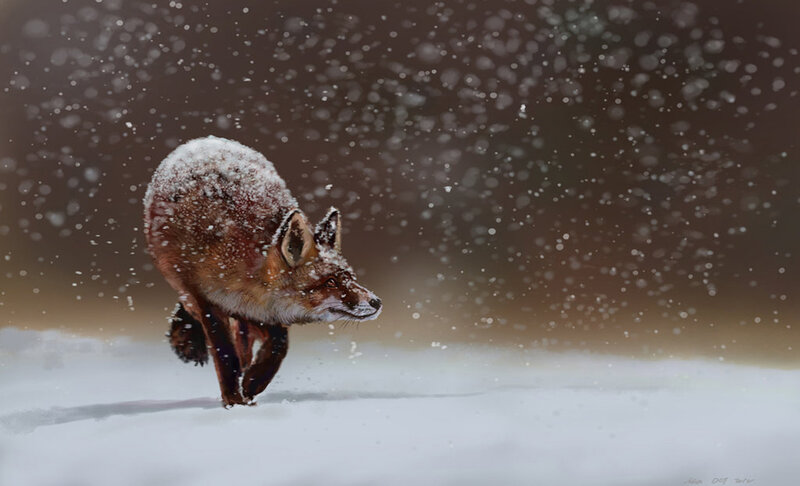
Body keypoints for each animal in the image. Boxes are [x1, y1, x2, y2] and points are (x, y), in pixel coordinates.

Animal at [143, 136, 382, 407]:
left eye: (349, 277)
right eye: (330, 282)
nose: (376, 302)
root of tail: (206, 141)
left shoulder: (264, 311)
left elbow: (278, 346)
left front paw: (253, 382)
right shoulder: (204, 300)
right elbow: (226, 357)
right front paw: (234, 402)